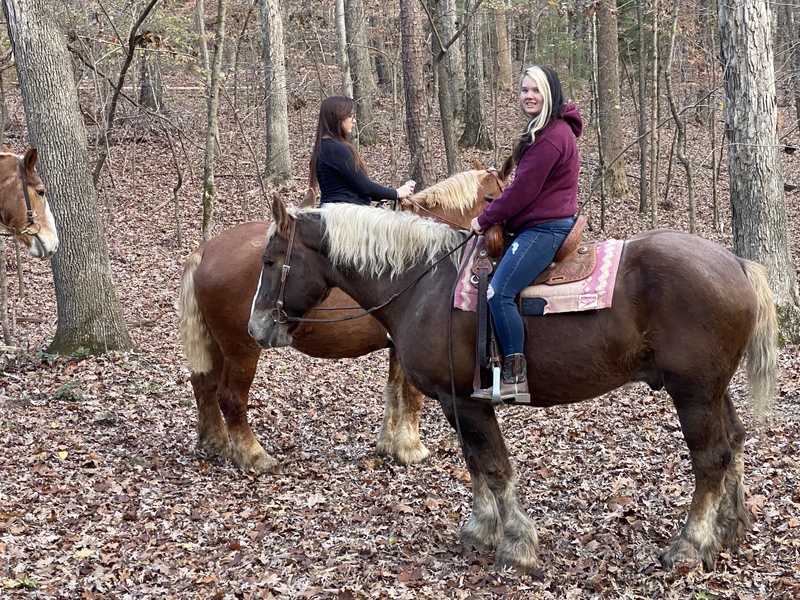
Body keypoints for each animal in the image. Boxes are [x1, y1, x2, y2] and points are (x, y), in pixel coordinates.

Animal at [177, 163, 510, 474]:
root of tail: (205, 250)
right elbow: (411, 395)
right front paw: (411, 447)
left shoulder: (395, 345)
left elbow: (393, 390)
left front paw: (389, 442)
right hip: (242, 349)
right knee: (230, 396)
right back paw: (253, 454)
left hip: (218, 345)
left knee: (204, 385)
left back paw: (214, 441)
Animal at [247, 198, 780, 572]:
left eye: (271, 260)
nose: (256, 328)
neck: (425, 285)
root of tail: (737, 264)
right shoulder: (456, 402)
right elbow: (475, 463)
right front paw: (482, 528)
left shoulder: (466, 401)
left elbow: (495, 466)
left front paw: (517, 545)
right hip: (711, 391)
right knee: (733, 444)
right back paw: (730, 529)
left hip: (693, 393)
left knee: (710, 459)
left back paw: (690, 546)